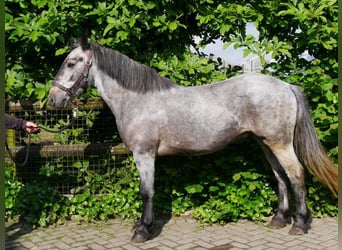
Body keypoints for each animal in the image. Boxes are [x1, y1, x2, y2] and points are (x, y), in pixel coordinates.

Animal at [47, 38, 336, 243]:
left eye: (71, 63)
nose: (53, 99)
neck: (137, 99)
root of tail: (286, 86)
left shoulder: (144, 154)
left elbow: (146, 191)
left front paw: (143, 230)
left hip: (279, 143)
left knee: (296, 175)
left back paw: (299, 225)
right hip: (266, 143)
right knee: (280, 178)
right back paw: (279, 219)